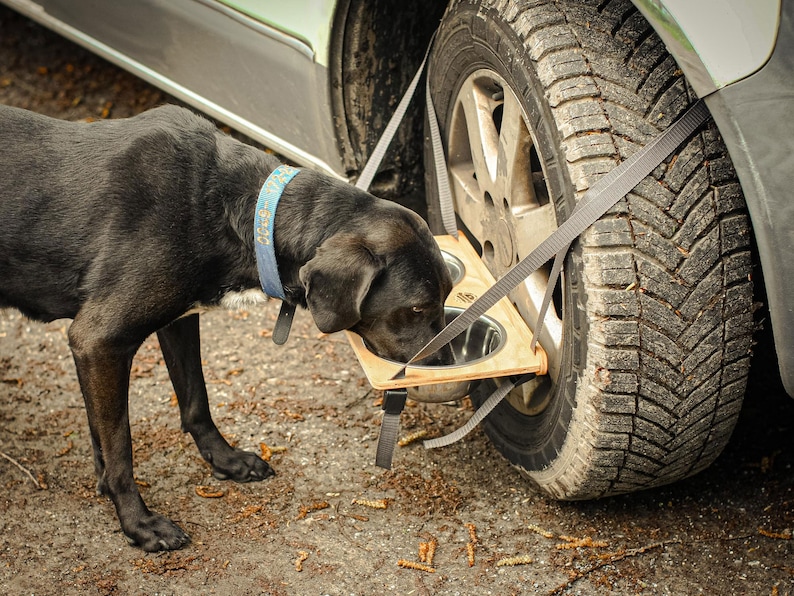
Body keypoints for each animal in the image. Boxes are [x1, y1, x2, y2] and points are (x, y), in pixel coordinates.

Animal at [0, 105, 452, 552]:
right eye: (416, 307)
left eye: (448, 294)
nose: (447, 369)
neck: (238, 209)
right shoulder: (97, 341)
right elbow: (120, 448)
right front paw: (137, 522)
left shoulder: (178, 322)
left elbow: (194, 401)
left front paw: (226, 459)